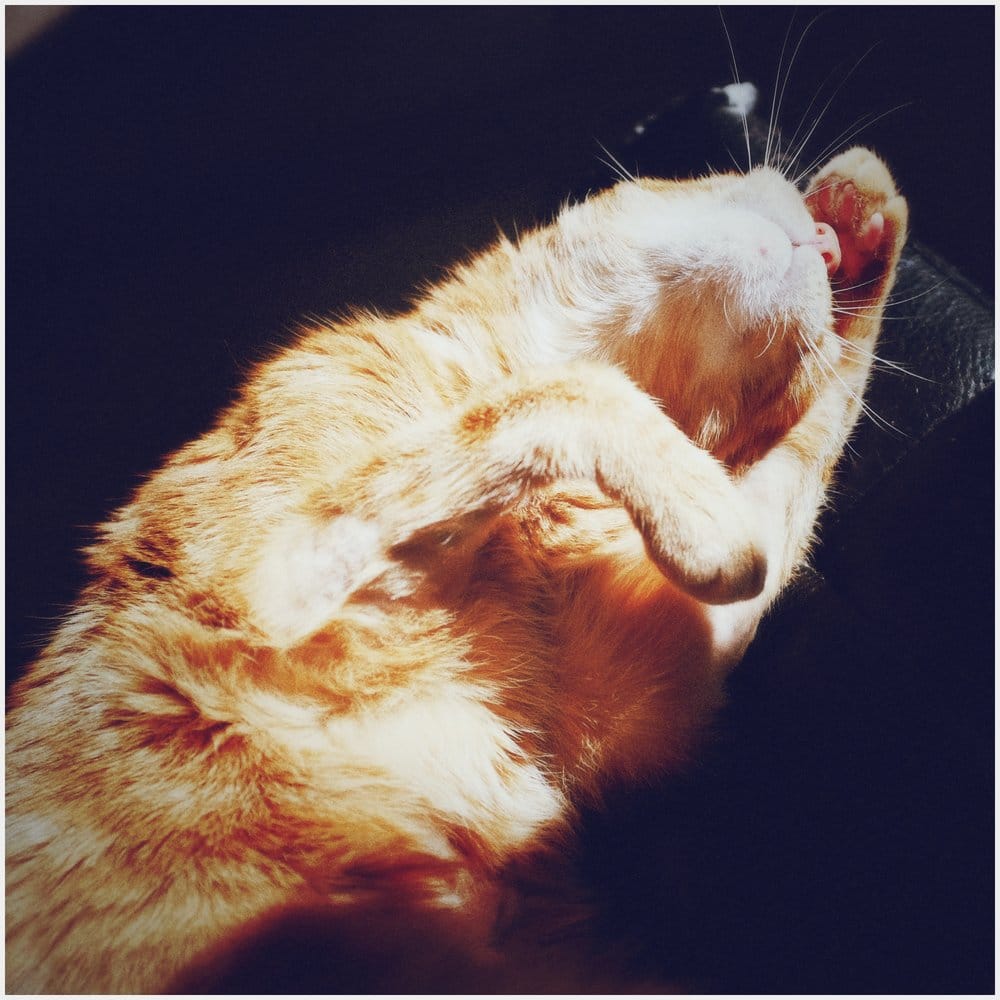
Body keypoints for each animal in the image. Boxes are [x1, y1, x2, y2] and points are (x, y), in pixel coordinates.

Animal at [1, 146, 908, 992]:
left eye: (784, 372)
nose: (824, 243)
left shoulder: (645, 683)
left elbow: (811, 448)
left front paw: (871, 226)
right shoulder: (275, 576)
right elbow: (577, 394)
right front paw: (701, 506)